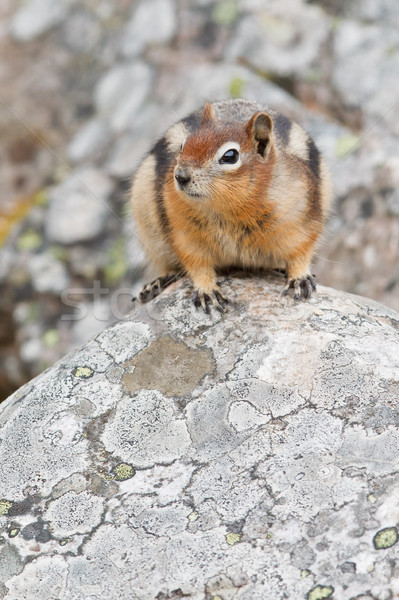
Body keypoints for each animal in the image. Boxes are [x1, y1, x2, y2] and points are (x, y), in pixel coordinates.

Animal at [130, 98, 332, 312]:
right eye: (182, 145)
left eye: (230, 156)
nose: (180, 176)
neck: (230, 209)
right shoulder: (183, 232)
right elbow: (196, 263)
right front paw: (206, 290)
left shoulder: (300, 220)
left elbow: (301, 251)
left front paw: (299, 278)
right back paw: (157, 283)